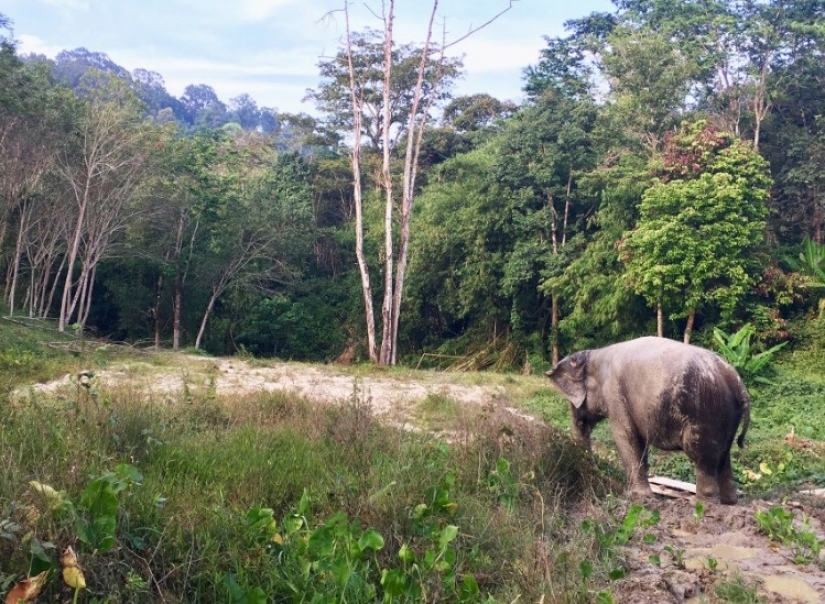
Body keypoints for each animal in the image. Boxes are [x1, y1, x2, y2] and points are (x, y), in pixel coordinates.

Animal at [545, 336, 750, 505]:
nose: (596, 470)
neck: (595, 353)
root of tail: (737, 382)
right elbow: (638, 441)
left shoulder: (614, 392)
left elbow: (625, 435)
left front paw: (636, 497)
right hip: (728, 414)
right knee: (724, 454)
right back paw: (729, 502)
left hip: (704, 411)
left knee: (701, 454)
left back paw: (700, 503)